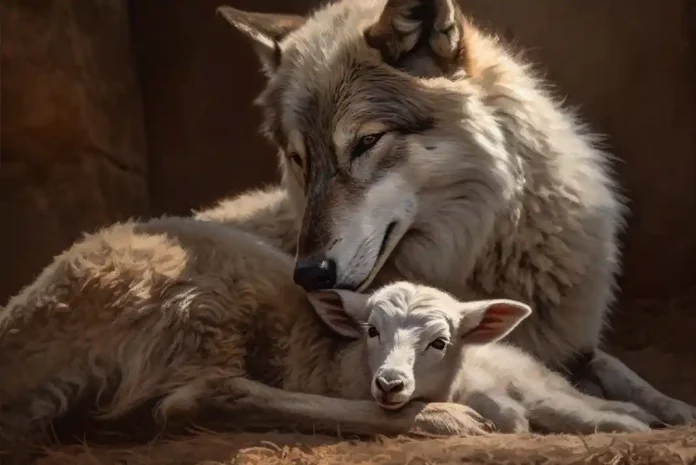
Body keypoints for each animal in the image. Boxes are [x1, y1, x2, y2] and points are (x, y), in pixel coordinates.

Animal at [0, 216, 487, 441]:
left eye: (440, 343)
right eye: (372, 330)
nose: (390, 383)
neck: (339, 363)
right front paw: (446, 417)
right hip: (194, 310)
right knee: (199, 399)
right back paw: (449, 419)